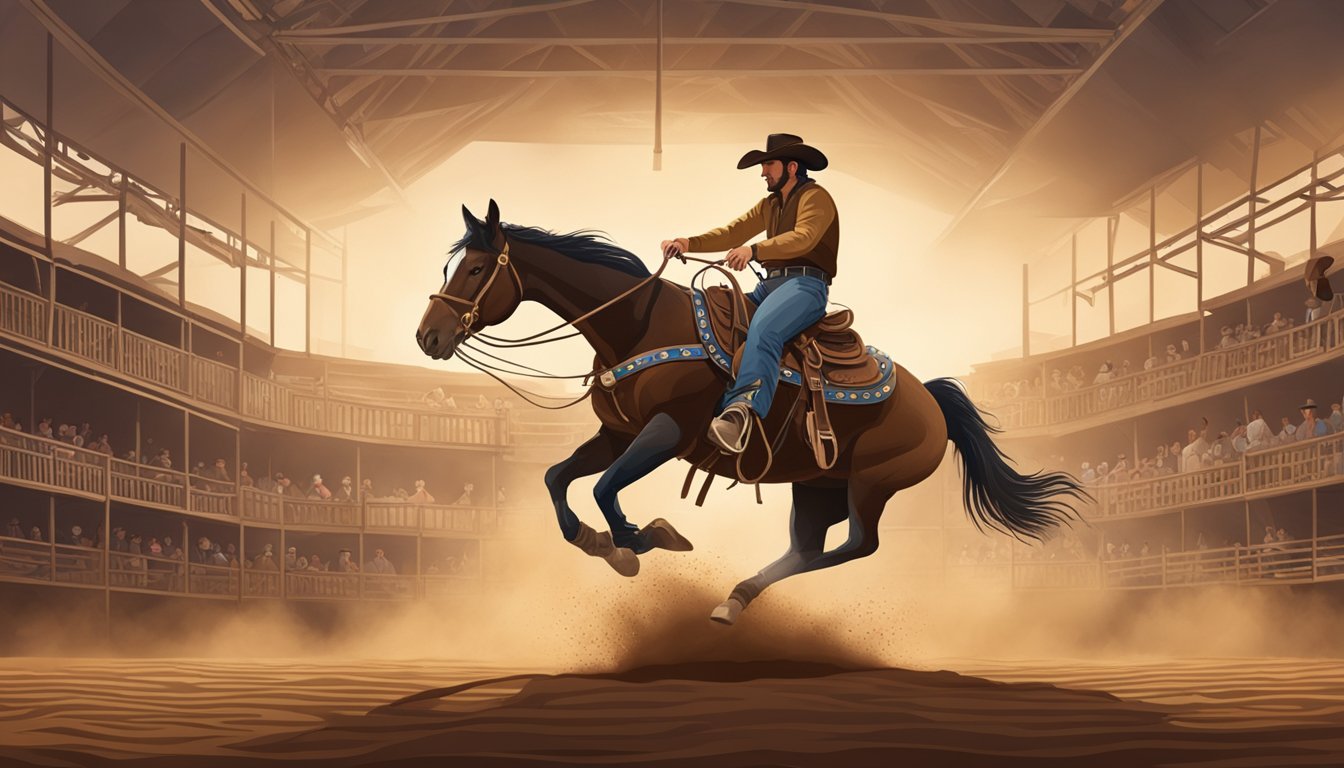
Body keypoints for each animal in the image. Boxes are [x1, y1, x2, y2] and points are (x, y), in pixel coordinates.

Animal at [413, 200, 1085, 624]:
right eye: (452, 264)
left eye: (477, 267)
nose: (428, 335)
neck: (636, 325)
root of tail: (933, 399)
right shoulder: (617, 432)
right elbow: (559, 479)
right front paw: (601, 543)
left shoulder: (666, 432)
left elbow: (604, 489)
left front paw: (644, 539)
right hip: (817, 485)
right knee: (807, 549)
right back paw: (733, 599)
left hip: (871, 484)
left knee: (854, 547)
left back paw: (734, 592)